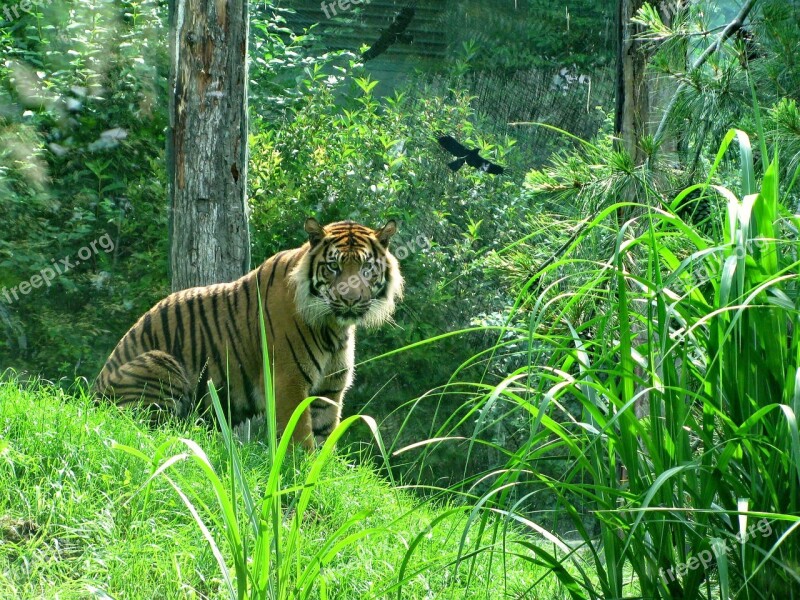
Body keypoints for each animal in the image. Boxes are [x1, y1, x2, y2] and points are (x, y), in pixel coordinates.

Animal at [94, 218, 404, 448]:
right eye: (333, 266)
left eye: (366, 267)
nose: (351, 299)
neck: (333, 326)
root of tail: (91, 394)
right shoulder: (289, 382)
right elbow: (300, 438)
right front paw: (298, 472)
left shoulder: (329, 389)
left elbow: (323, 437)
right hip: (160, 362)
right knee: (149, 427)